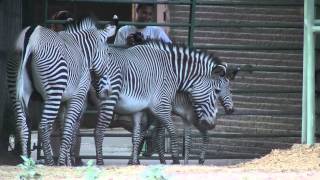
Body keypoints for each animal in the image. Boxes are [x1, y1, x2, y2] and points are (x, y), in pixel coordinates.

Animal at [8, 17, 116, 165]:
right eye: (108, 54)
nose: (107, 92)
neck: (82, 52)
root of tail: (31, 35)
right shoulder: (77, 97)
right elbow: (68, 129)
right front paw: (63, 164)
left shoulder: (63, 101)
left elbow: (62, 129)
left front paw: (66, 163)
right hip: (53, 91)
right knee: (44, 126)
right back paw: (50, 164)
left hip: (15, 88)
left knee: (22, 125)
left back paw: (26, 162)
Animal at [92, 41, 228, 165]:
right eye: (216, 91)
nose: (212, 125)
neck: (172, 72)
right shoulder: (161, 106)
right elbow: (170, 132)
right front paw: (175, 159)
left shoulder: (144, 110)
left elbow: (141, 135)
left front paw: (134, 161)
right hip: (109, 98)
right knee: (99, 130)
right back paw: (100, 162)